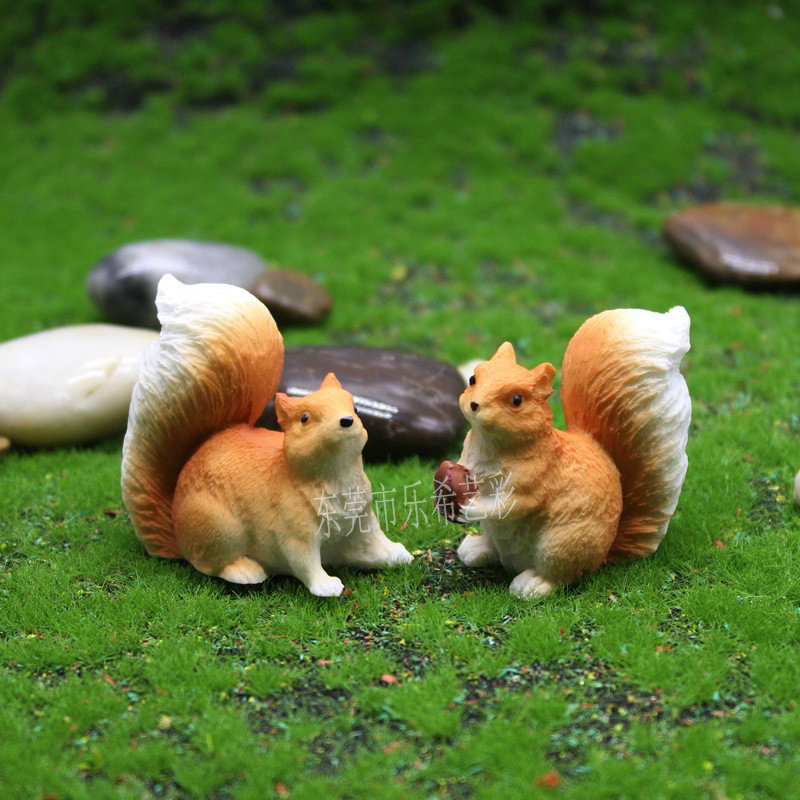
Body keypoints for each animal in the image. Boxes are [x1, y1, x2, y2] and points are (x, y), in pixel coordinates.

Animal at [123, 276, 418, 592]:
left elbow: (374, 544)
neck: (335, 475)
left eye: (354, 405)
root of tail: (177, 533)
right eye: (304, 418)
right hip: (217, 527)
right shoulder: (294, 530)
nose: (347, 420)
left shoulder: (361, 520)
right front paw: (325, 586)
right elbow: (304, 561)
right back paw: (244, 571)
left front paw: (398, 554)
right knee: (208, 563)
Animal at [434, 306, 692, 600]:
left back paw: (531, 585)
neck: (490, 443)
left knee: (559, 577)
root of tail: (603, 556)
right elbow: (465, 467)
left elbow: (510, 504)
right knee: (495, 552)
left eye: (517, 400)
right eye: (473, 378)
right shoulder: (471, 458)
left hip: (560, 545)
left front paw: (470, 507)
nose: (475, 404)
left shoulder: (534, 477)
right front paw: (445, 480)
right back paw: (476, 549)